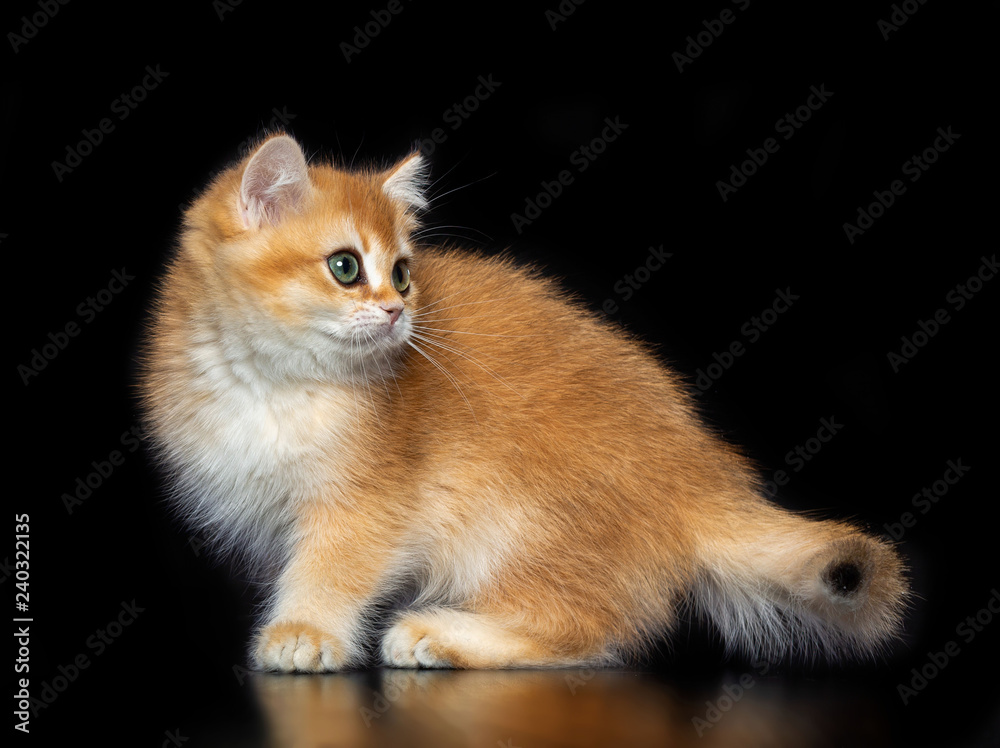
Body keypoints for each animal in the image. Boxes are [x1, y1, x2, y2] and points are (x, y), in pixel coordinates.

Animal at [139, 131, 908, 668]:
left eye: (404, 273)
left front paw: (304, 632)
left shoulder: (366, 504)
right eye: (346, 267)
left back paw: (442, 635)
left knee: (594, 632)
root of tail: (699, 485)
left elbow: (332, 571)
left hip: (514, 519)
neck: (272, 382)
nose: (398, 312)